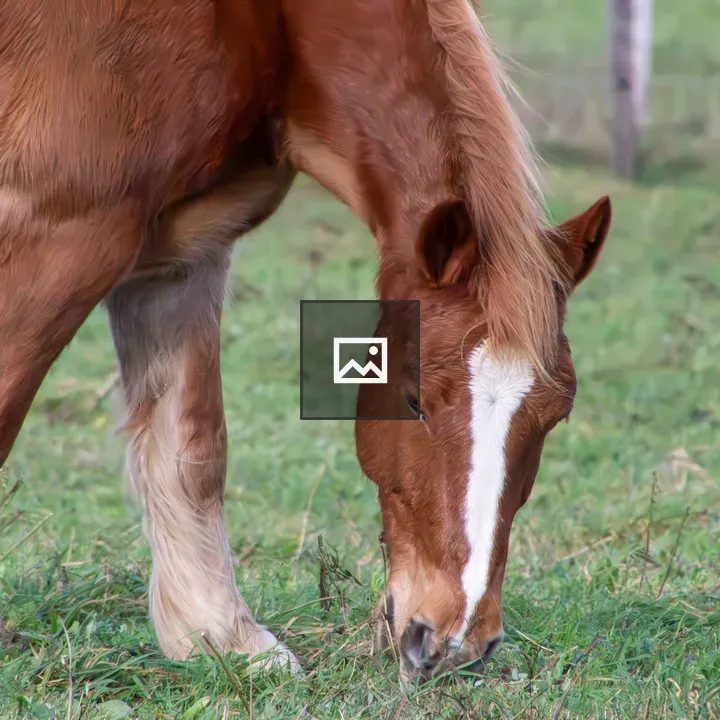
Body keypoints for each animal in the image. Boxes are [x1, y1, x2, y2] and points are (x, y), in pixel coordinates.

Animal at [0, 0, 612, 683]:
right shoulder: (60, 234)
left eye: (556, 415)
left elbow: (193, 450)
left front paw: (224, 639)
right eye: (413, 398)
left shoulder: (185, 254)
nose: (454, 642)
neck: (267, 25)